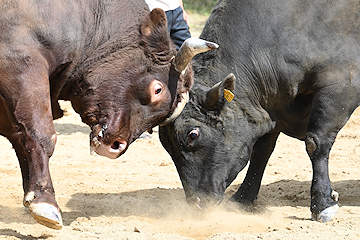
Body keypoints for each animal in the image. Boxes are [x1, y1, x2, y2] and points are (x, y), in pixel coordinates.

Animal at [159, 0, 360, 223]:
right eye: (165, 144)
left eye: (192, 134)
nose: (196, 204)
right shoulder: (271, 105)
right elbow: (261, 151)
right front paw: (243, 198)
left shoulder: (340, 86)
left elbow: (315, 143)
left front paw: (323, 203)